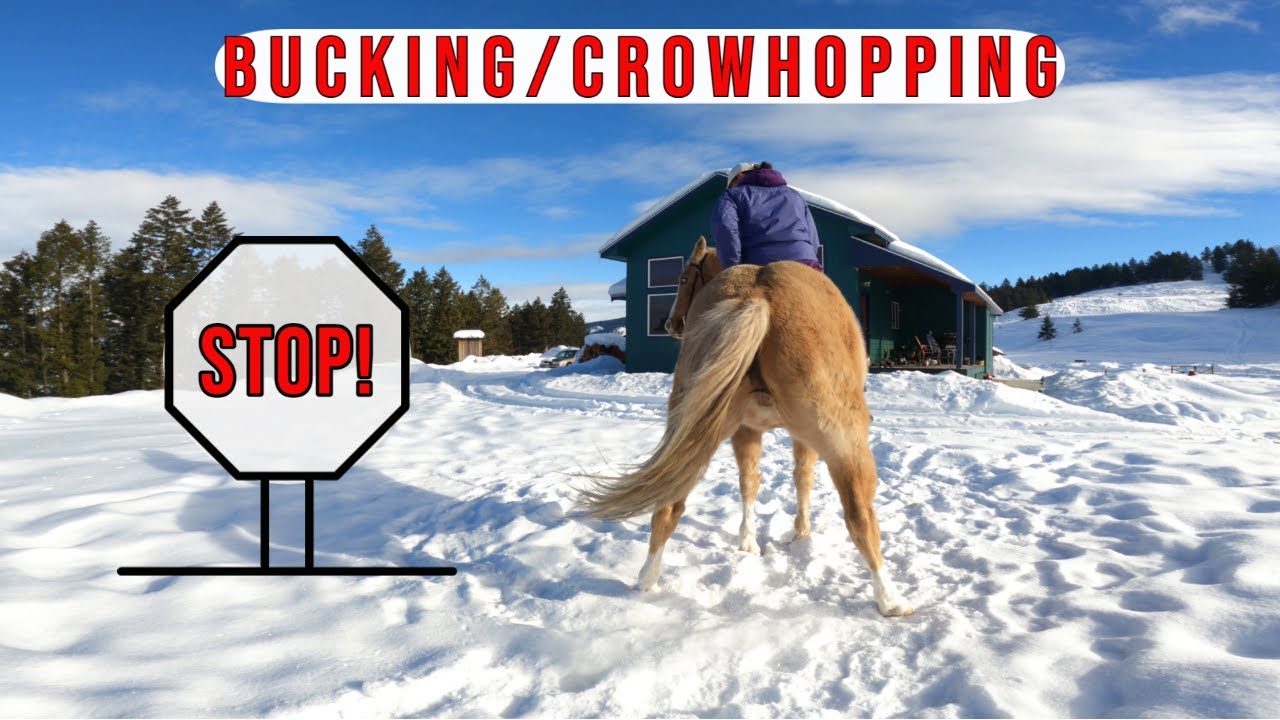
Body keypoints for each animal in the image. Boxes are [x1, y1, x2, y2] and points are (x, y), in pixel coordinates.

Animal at [578, 236, 912, 617]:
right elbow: (801, 478)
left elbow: (749, 483)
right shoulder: (800, 437)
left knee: (667, 506)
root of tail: (756, 297)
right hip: (840, 436)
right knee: (859, 514)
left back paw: (647, 578)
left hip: (695, 429)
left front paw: (748, 542)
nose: (670, 323)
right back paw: (890, 599)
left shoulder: (745, 430)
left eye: (682, 278)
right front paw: (799, 532)